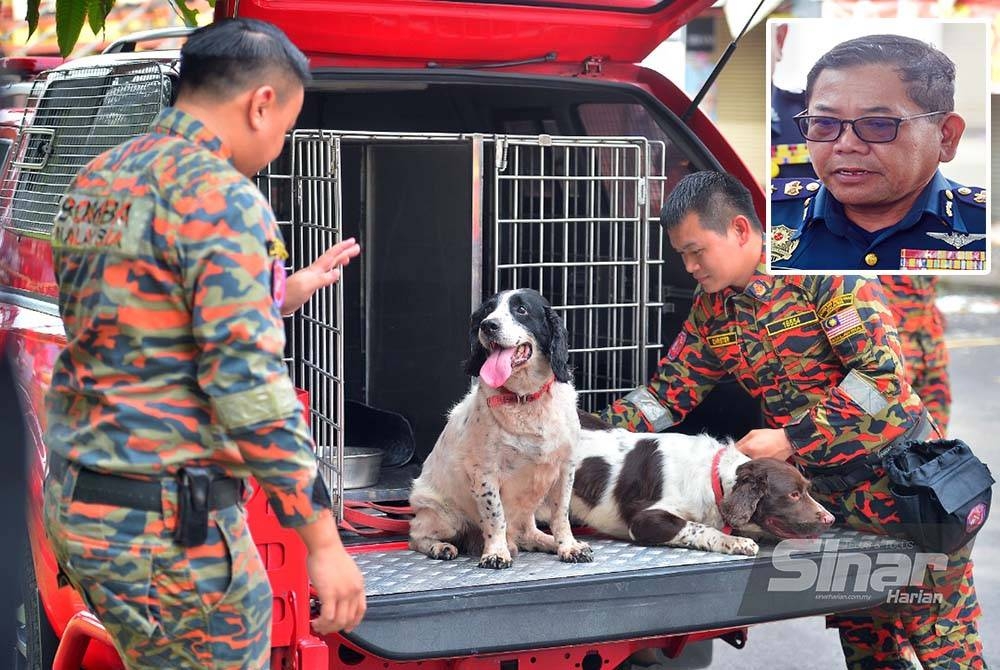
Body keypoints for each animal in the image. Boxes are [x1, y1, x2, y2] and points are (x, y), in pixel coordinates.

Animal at [408, 292, 592, 568]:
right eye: (487, 311)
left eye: (522, 310)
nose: (488, 325)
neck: (524, 399)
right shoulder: (485, 473)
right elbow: (495, 517)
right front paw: (496, 552)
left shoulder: (565, 468)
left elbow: (561, 515)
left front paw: (569, 546)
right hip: (442, 514)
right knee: (416, 535)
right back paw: (440, 547)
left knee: (528, 533)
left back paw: (547, 542)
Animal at [564, 418, 836, 560]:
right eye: (793, 495)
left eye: (806, 490)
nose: (830, 519)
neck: (713, 477)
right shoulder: (645, 519)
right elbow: (700, 528)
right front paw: (736, 542)